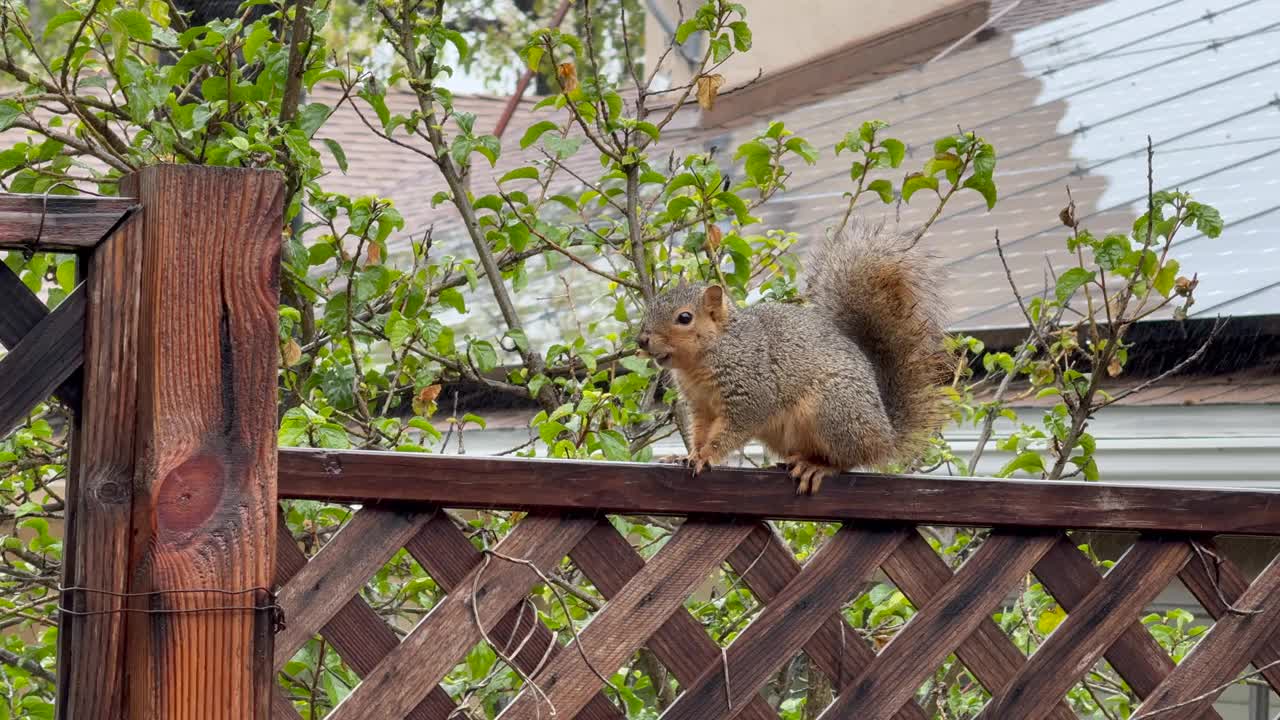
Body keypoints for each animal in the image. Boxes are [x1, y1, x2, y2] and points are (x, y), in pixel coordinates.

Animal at [640, 222, 952, 491]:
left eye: (684, 318)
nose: (641, 340)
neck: (705, 358)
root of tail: (886, 434)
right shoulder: (700, 405)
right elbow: (700, 431)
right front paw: (688, 455)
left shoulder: (751, 393)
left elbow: (731, 431)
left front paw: (706, 456)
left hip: (833, 411)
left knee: (847, 459)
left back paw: (818, 467)